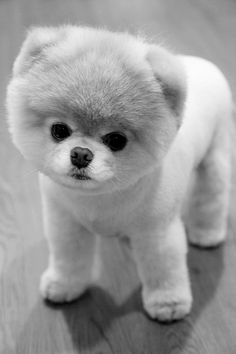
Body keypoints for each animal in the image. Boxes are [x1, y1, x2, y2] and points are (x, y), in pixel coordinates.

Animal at [6, 26, 232, 322]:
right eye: (59, 130)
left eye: (116, 140)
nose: (81, 154)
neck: (100, 198)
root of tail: (204, 63)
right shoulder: (66, 223)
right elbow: (69, 258)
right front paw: (64, 285)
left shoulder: (157, 232)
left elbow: (163, 269)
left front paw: (168, 303)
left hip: (216, 155)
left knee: (212, 195)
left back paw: (207, 233)